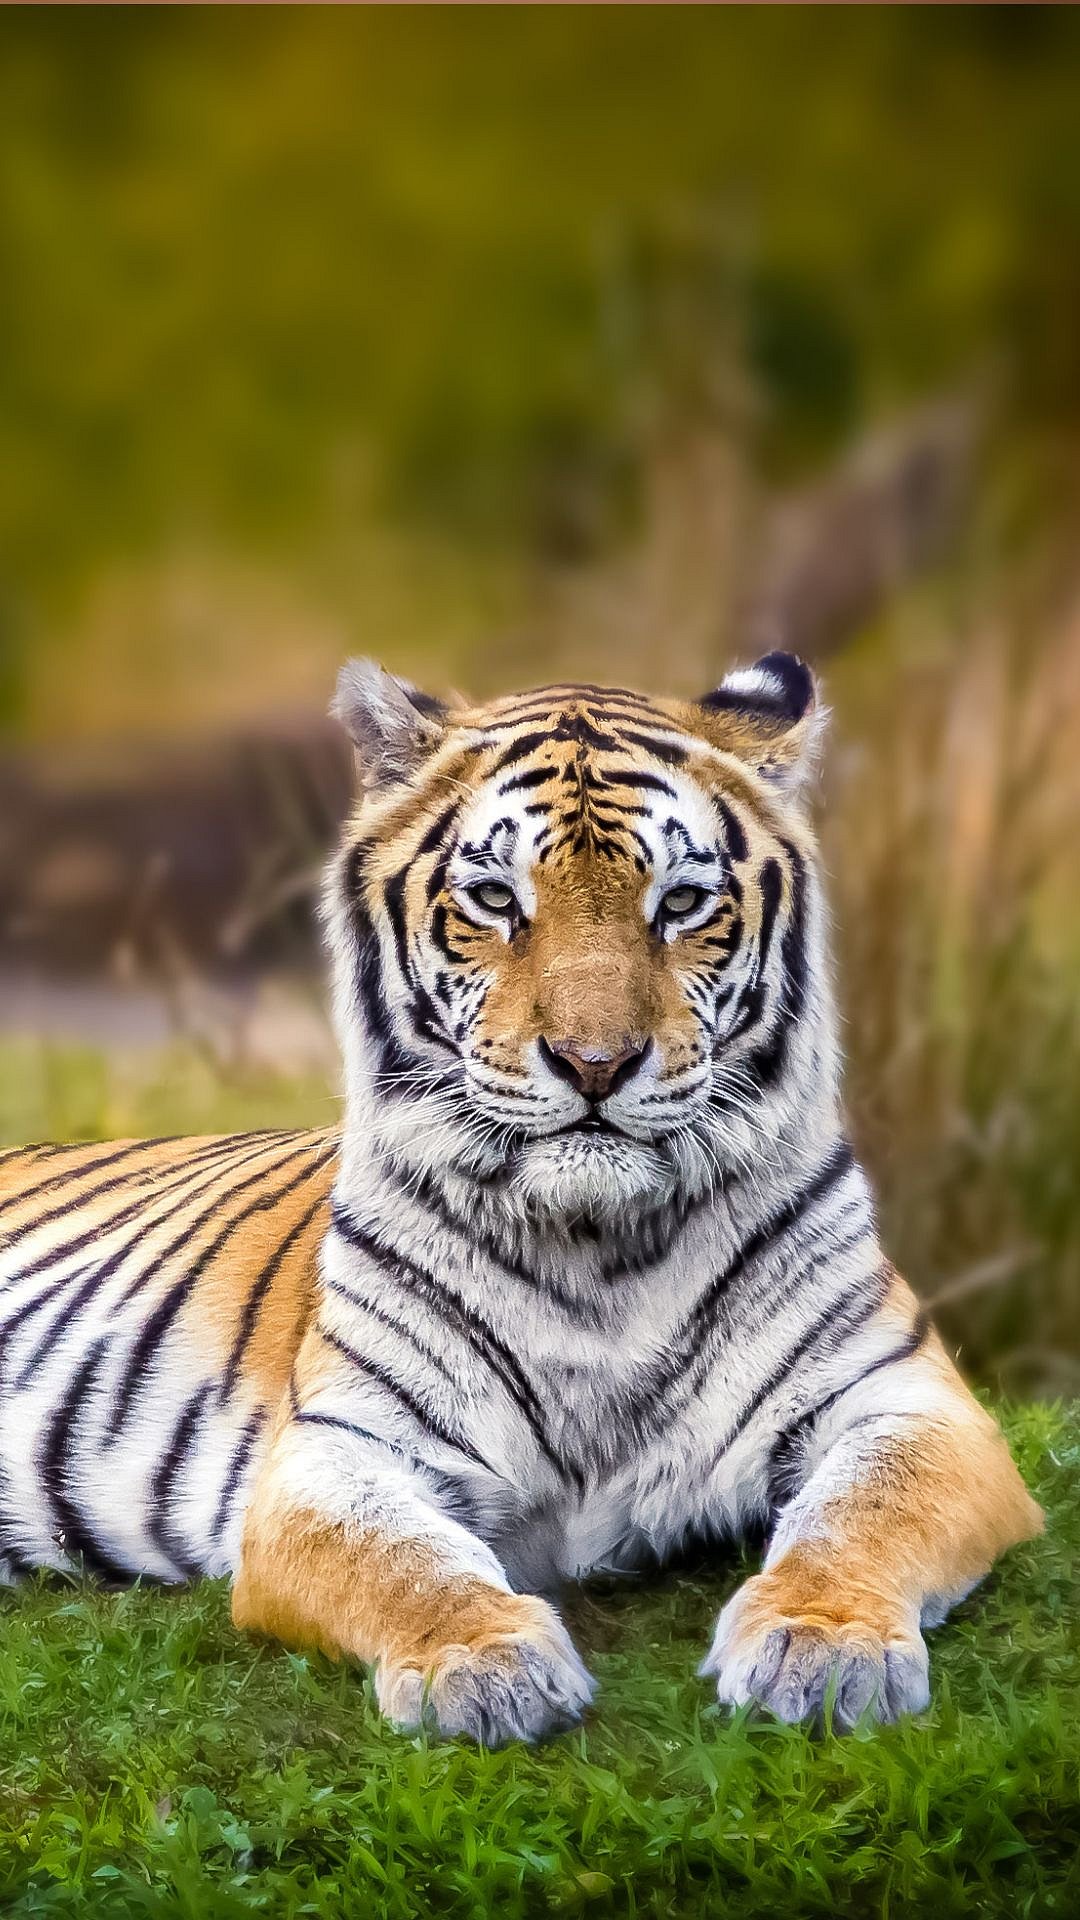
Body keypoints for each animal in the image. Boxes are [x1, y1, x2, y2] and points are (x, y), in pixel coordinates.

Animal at [0, 652, 1041, 1746]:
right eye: (496, 899)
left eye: (681, 902)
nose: (596, 1064)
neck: (601, 1250)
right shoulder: (336, 1455)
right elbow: (402, 1560)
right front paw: (482, 1663)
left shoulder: (912, 1403)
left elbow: (863, 1516)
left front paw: (825, 1646)